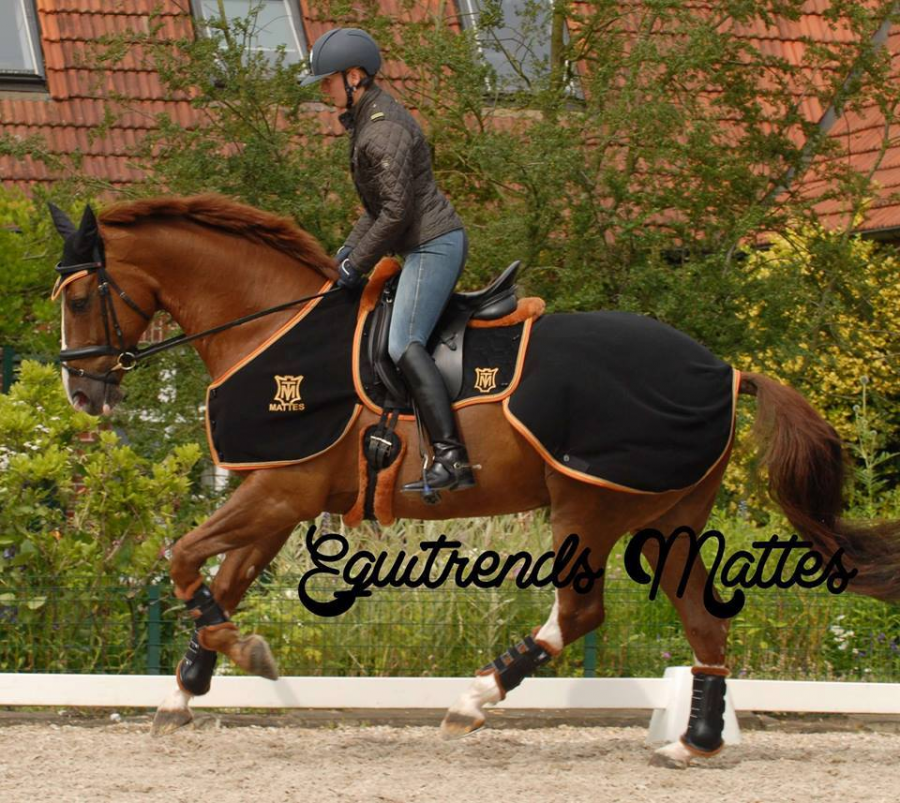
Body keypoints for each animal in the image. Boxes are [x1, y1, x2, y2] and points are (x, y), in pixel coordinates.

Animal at [48, 193, 900, 767]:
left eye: (84, 296)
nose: (82, 394)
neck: (269, 325)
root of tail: (724, 370)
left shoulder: (281, 491)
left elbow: (184, 558)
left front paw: (248, 655)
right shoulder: (278, 497)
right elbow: (218, 582)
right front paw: (184, 690)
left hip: (587, 504)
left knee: (581, 613)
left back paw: (477, 697)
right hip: (669, 516)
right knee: (703, 621)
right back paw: (693, 742)